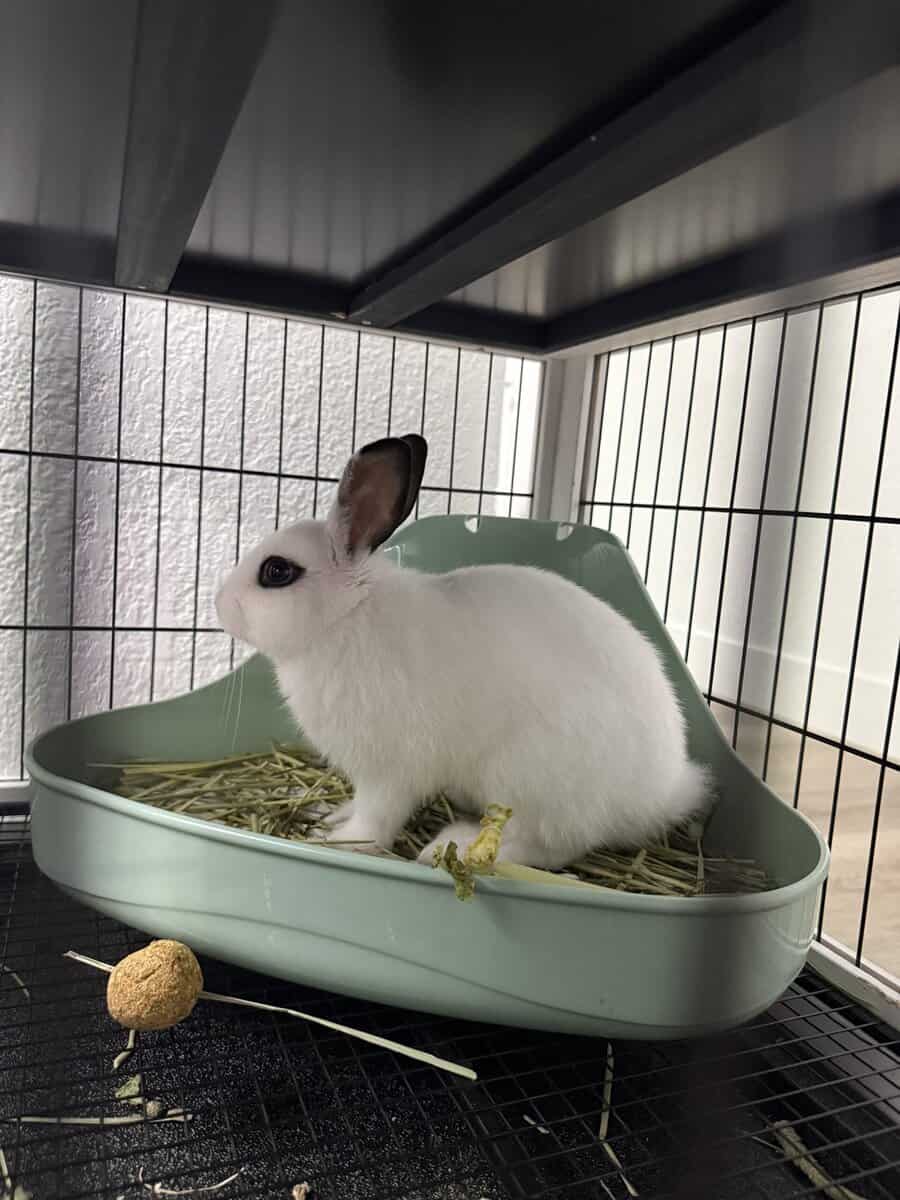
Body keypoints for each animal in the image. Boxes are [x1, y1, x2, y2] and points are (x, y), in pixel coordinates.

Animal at [215, 433, 712, 870]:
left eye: (277, 572)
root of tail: (659, 794)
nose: (219, 603)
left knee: (549, 848)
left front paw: (341, 841)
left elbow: (378, 816)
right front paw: (331, 816)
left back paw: (448, 846)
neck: (348, 615)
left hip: (530, 778)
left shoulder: (390, 767)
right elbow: (358, 802)